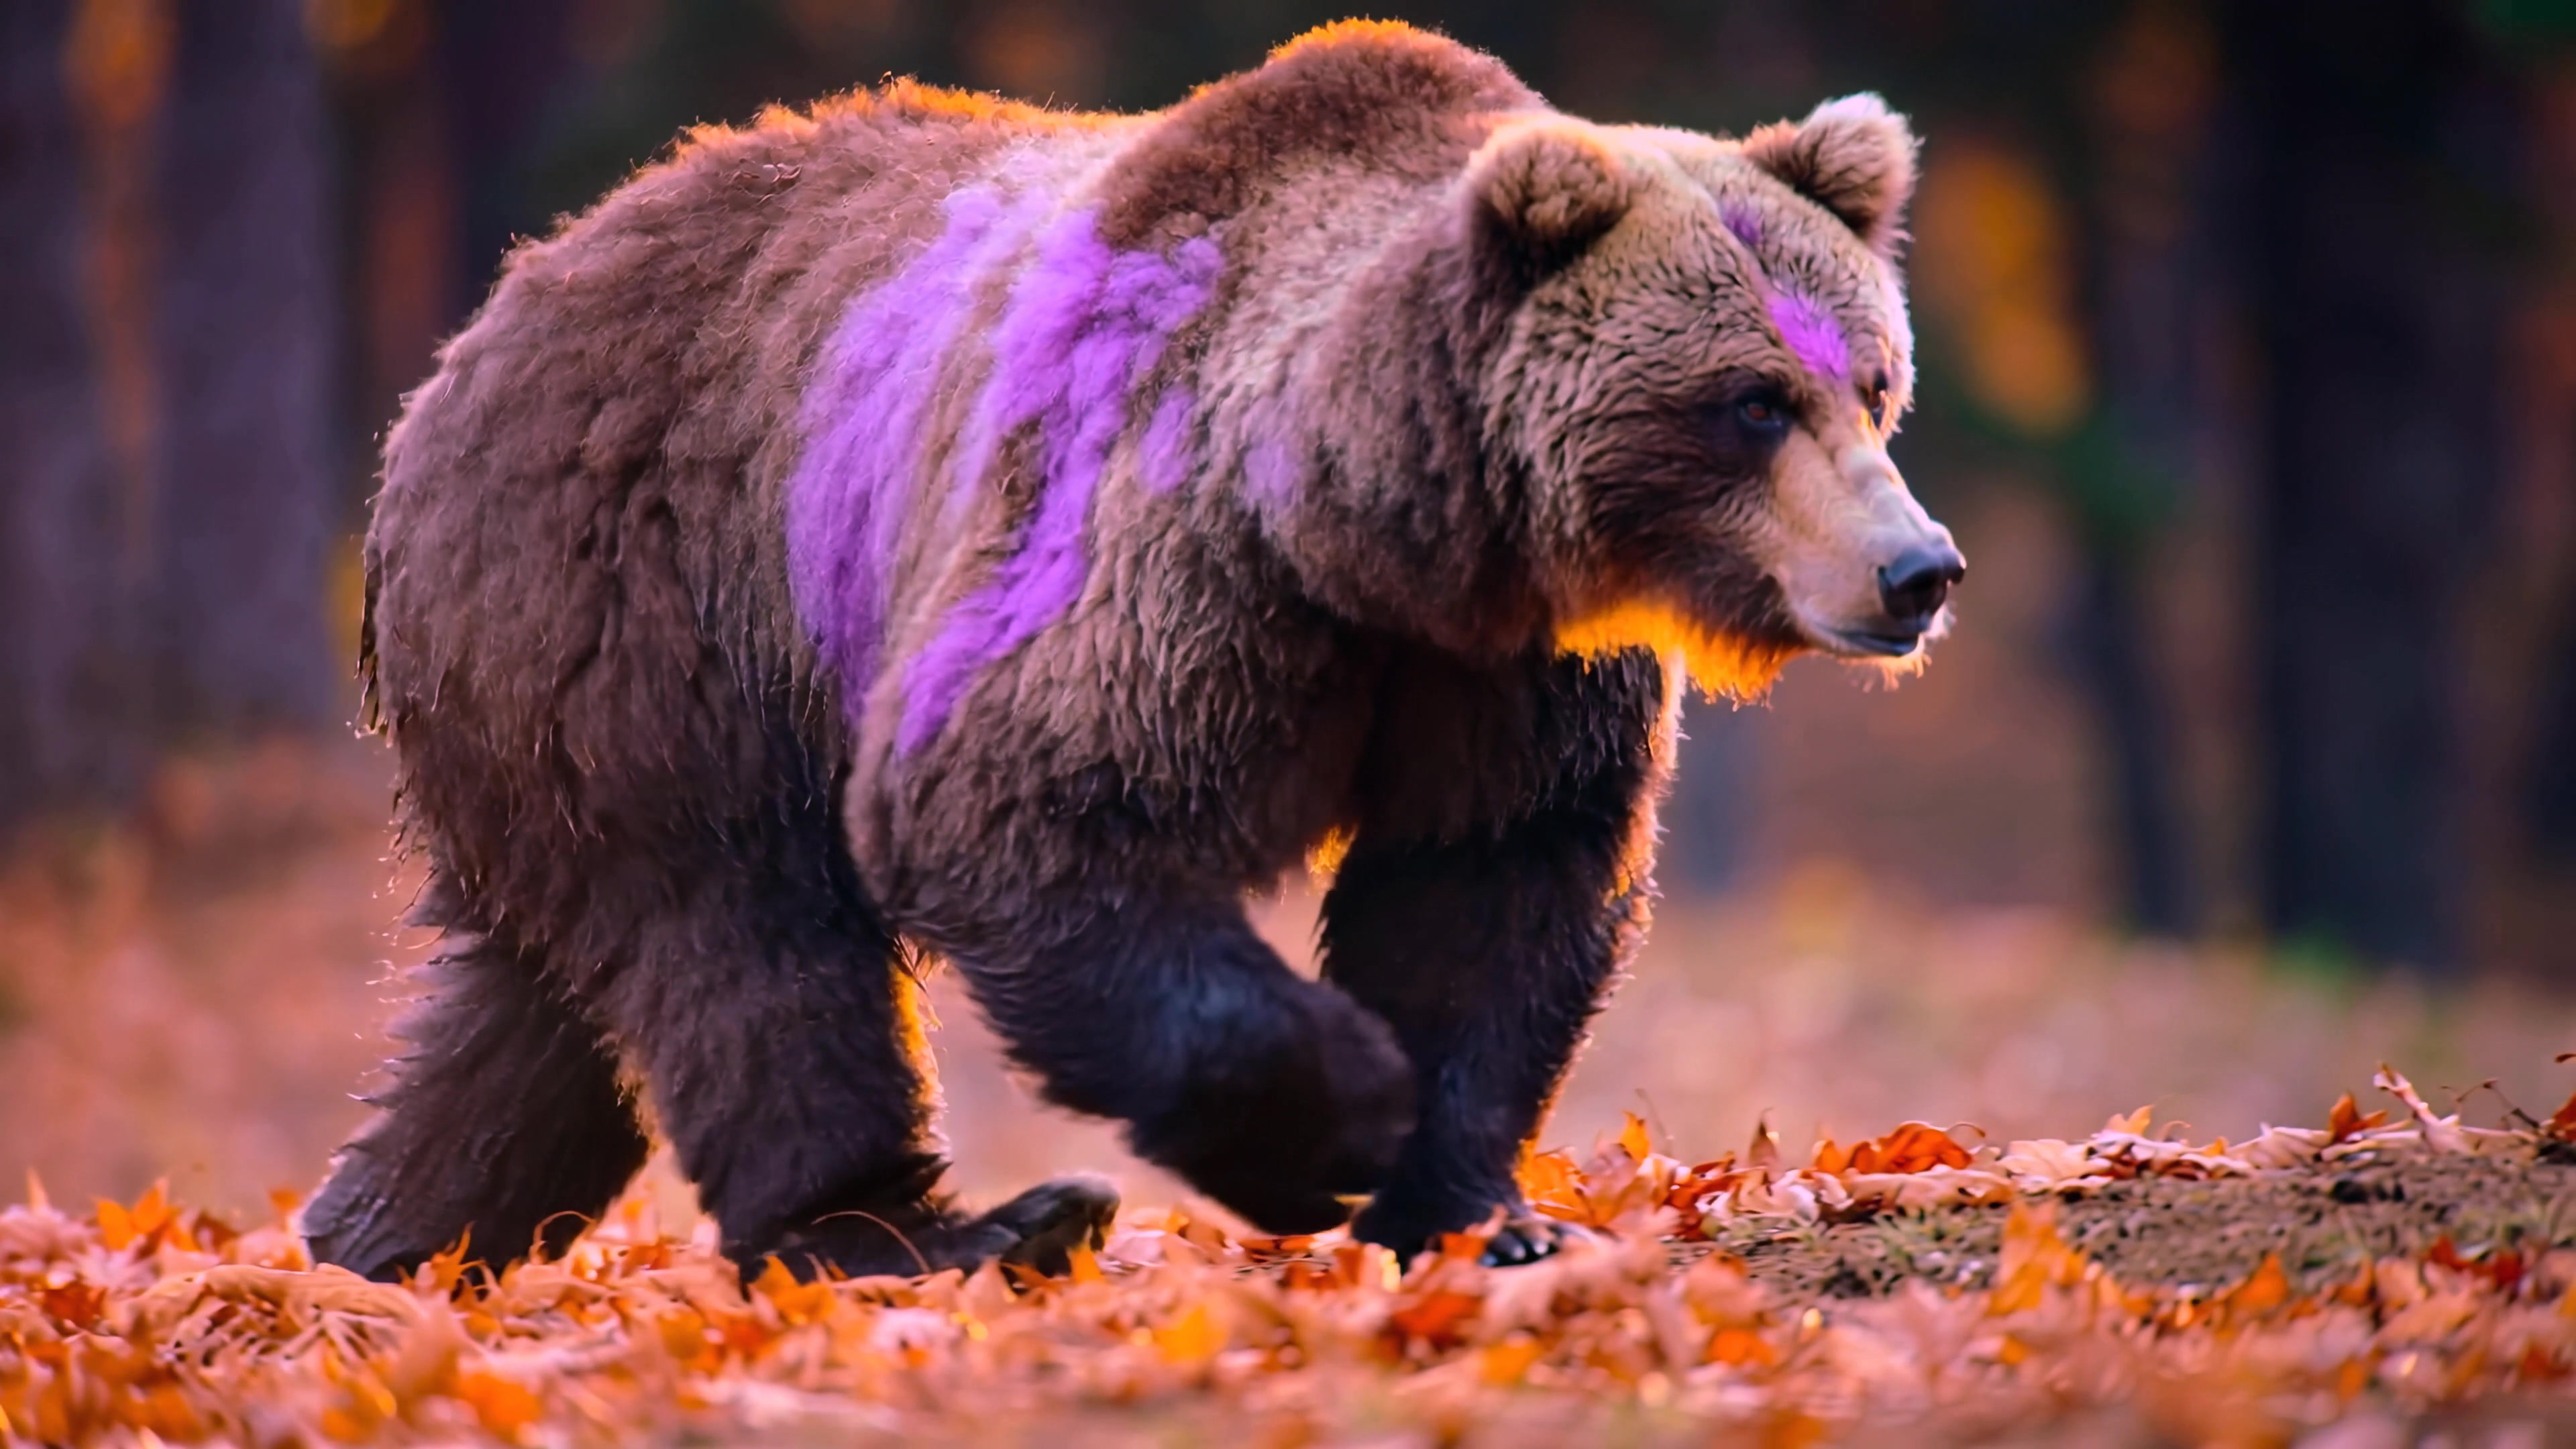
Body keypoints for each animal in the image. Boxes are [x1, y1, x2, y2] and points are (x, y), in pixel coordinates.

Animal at [305, 20, 1962, 1283]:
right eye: (1749, 401)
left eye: (1872, 382)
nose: (1918, 572)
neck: (1372, 526)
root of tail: (479, 330)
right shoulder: (1156, 547)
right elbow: (1027, 805)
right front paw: (1339, 1124)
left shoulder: (1497, 673)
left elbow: (1492, 885)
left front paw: (1476, 1209)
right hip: (662, 602)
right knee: (746, 943)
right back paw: (942, 1230)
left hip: (561, 693)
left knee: (543, 1003)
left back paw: (369, 1243)